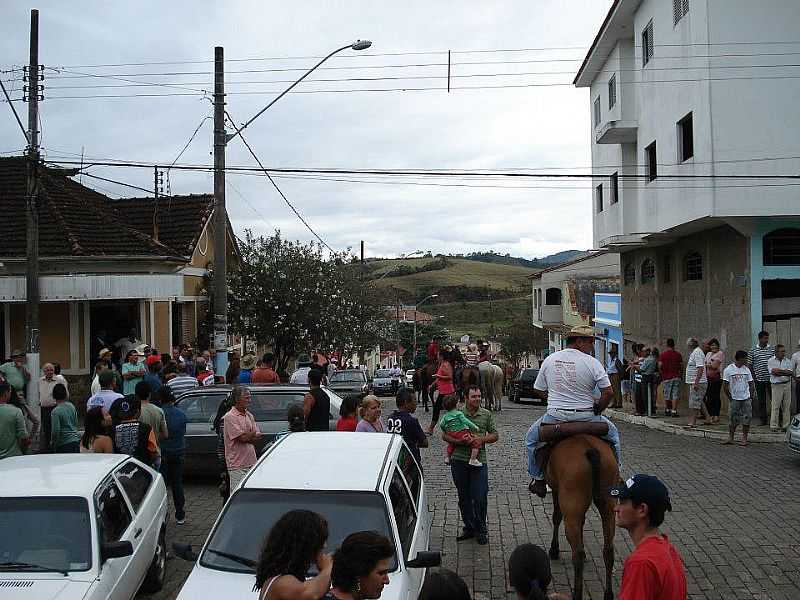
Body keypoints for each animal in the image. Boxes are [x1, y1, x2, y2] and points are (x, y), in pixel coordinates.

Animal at [548, 434, 616, 600]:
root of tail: (590, 449)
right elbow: (583, 522)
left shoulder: (555, 489)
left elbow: (556, 516)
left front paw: (554, 549)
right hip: (609, 503)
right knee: (608, 549)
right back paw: (608, 593)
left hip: (571, 505)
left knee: (576, 555)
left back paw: (577, 593)